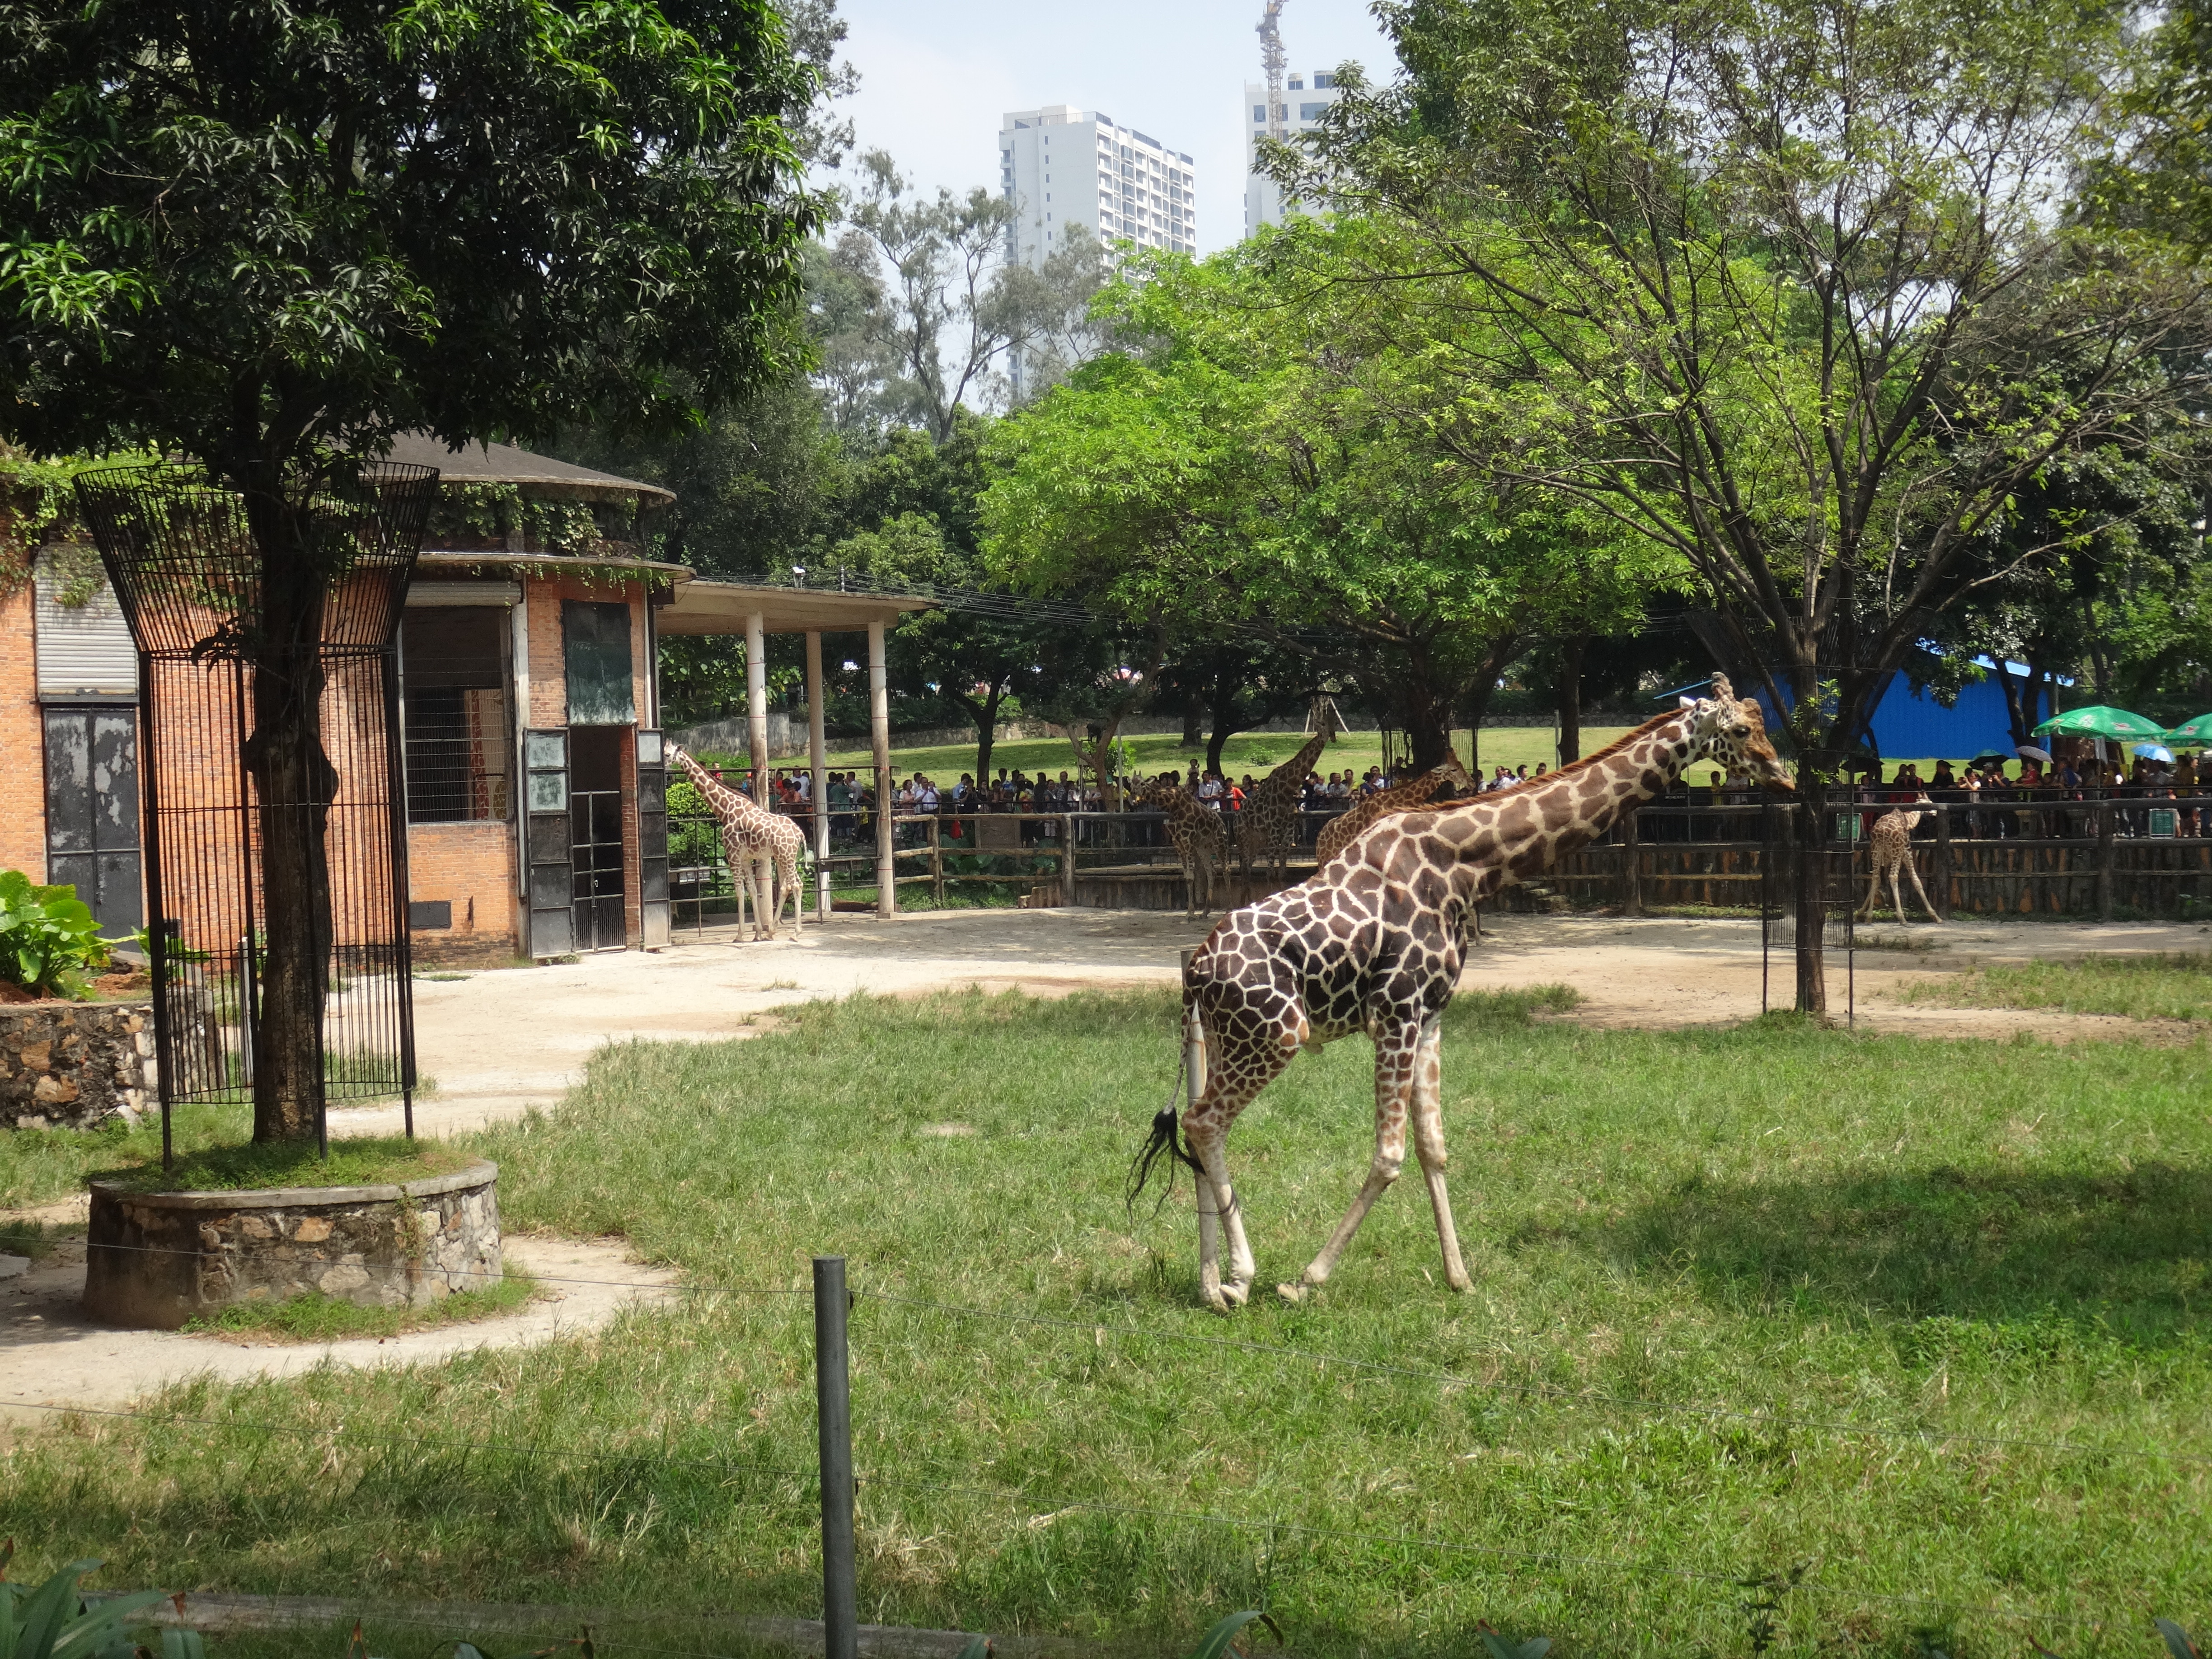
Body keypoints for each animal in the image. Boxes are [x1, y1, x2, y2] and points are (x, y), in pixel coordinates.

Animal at [672, 743, 814, 942]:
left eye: (668, 754)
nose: (664, 762)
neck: (725, 810)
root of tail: (799, 832)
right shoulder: (746, 858)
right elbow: (753, 890)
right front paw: (758, 933)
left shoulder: (732, 854)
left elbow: (739, 891)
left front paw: (739, 935)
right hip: (785, 857)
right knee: (785, 886)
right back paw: (772, 931)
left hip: (786, 857)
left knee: (797, 885)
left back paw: (795, 933)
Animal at [1132, 778, 1238, 924]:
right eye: (1131, 784)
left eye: (1142, 784)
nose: (1133, 797)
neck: (1173, 806)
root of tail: (1222, 823)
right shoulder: (1178, 843)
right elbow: (1187, 876)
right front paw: (1190, 913)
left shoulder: (1187, 840)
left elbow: (1190, 877)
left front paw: (1190, 914)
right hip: (1203, 848)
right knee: (1211, 871)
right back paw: (1205, 913)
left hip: (1220, 843)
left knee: (1226, 870)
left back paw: (1229, 910)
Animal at [1230, 712, 1345, 902]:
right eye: (1322, 724)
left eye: (1335, 722)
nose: (1333, 737)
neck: (1287, 788)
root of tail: (1236, 817)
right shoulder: (1275, 829)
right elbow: (1270, 872)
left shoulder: (1288, 829)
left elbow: (1282, 873)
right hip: (1243, 836)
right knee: (1244, 870)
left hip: (1257, 841)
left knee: (1247, 869)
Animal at [1849, 792, 1937, 924]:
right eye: (1930, 802)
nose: (1935, 812)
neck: (1908, 820)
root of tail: (1882, 832)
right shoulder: (1906, 851)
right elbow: (1916, 880)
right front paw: (1935, 916)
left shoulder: (1885, 858)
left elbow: (1877, 881)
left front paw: (1860, 914)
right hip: (1896, 851)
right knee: (1893, 876)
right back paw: (1902, 918)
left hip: (1876, 850)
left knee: (1875, 877)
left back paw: (1869, 917)